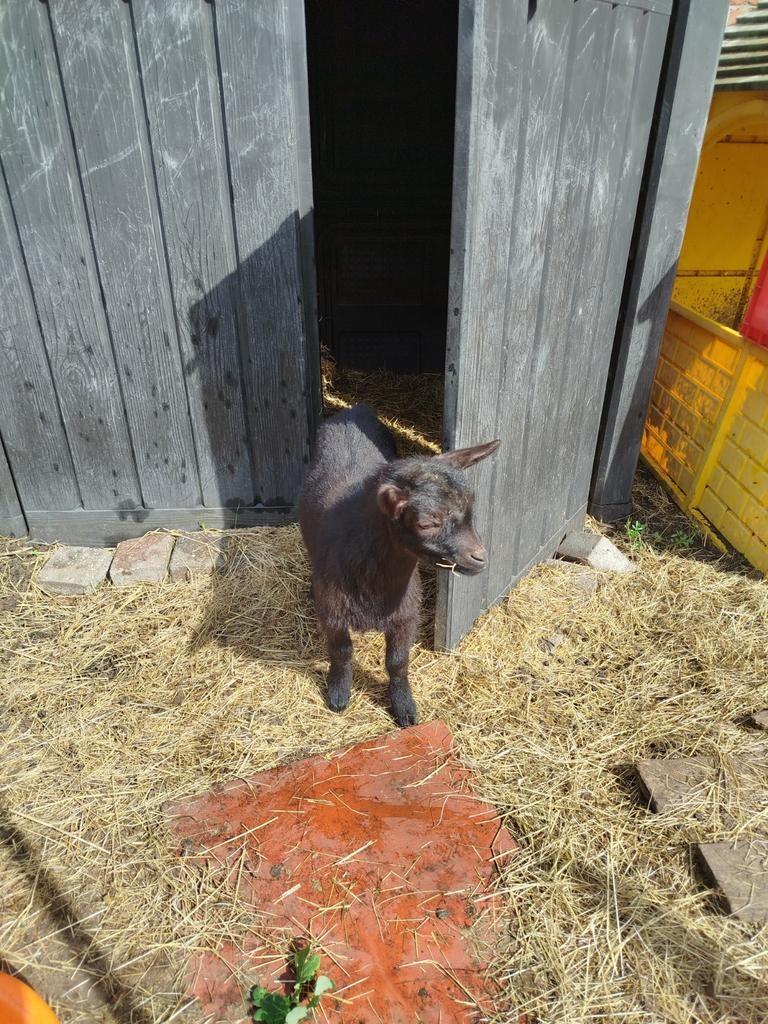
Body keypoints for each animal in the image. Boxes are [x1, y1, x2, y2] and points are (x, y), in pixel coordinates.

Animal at [298, 403, 499, 726]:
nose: (480, 557)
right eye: (426, 523)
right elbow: (341, 652)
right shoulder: (333, 612)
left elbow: (397, 661)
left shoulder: (406, 613)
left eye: (471, 507)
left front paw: (404, 706)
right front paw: (339, 695)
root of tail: (353, 411)